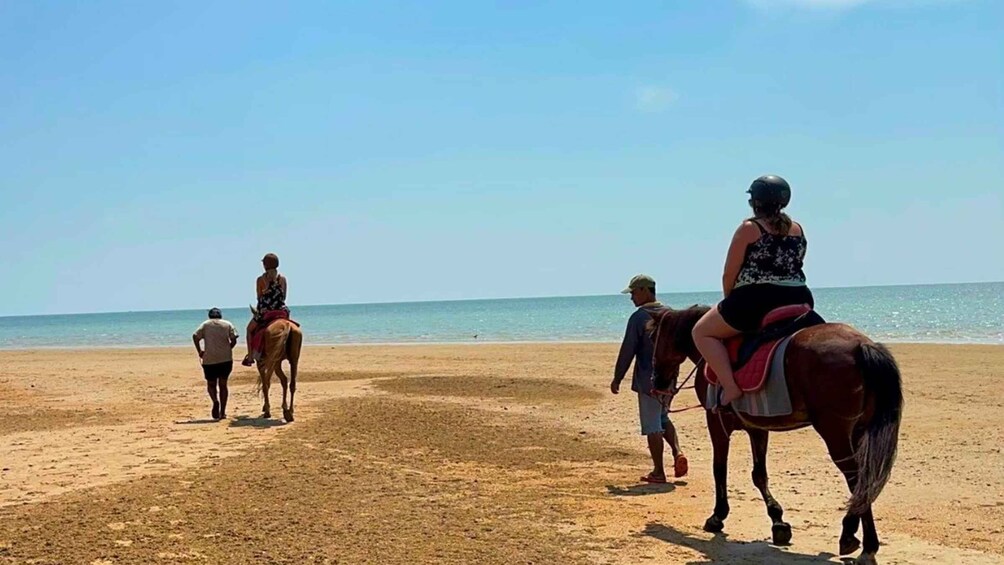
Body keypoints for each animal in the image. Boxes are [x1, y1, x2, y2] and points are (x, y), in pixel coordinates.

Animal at [650, 305, 903, 565]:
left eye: (652, 338)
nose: (656, 381)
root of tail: (861, 345)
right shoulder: (757, 427)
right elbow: (759, 475)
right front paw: (778, 521)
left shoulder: (717, 422)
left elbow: (719, 468)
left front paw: (718, 516)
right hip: (858, 432)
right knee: (865, 481)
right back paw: (858, 538)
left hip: (836, 434)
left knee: (857, 479)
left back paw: (859, 541)